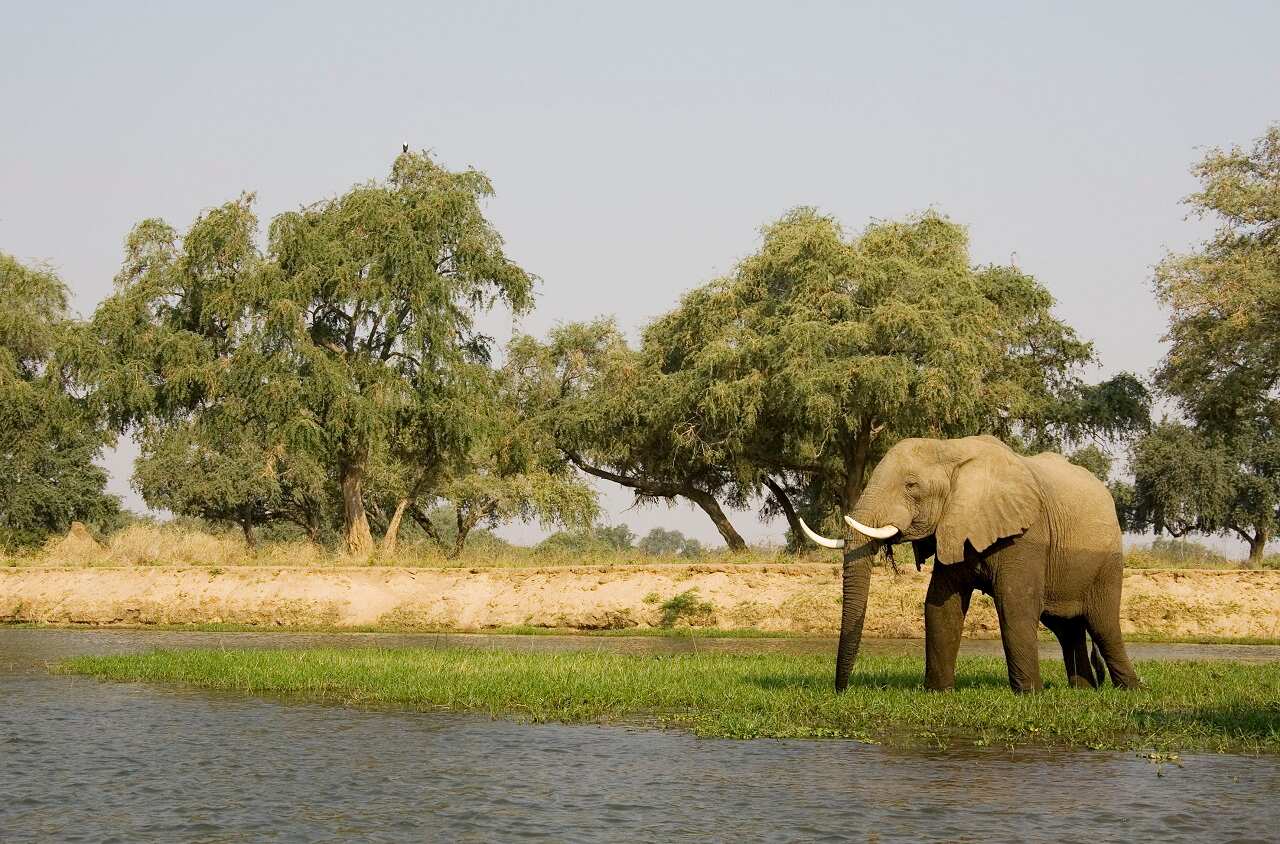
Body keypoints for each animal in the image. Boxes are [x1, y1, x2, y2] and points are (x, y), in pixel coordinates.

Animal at [797, 434, 1140, 694]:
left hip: (1108, 561)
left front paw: (1030, 694)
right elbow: (941, 605)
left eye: (911, 486)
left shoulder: (1027, 535)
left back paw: (1130, 689)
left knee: (1102, 623)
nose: (841, 691)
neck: (952, 450)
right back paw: (1084, 689)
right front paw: (938, 692)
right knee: (1066, 627)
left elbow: (1016, 605)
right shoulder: (954, 523)